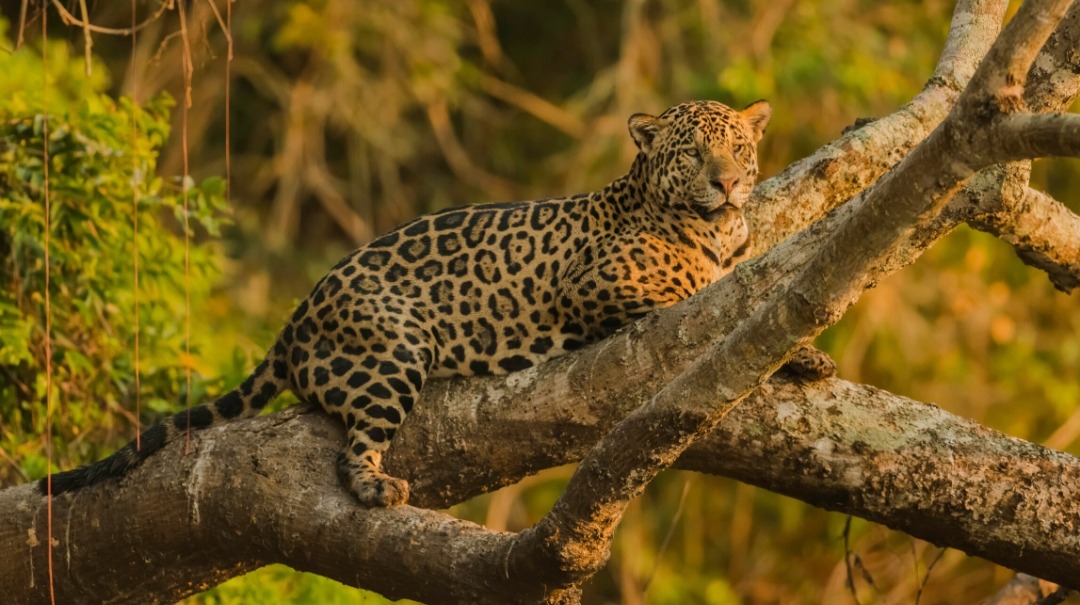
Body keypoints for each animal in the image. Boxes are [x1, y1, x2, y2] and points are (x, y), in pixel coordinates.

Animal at [40, 99, 833, 507]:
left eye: (737, 147)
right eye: (691, 153)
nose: (728, 183)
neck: (713, 228)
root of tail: (297, 318)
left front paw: (809, 356)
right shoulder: (596, 282)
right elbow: (698, 290)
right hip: (392, 353)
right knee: (354, 447)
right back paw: (374, 484)